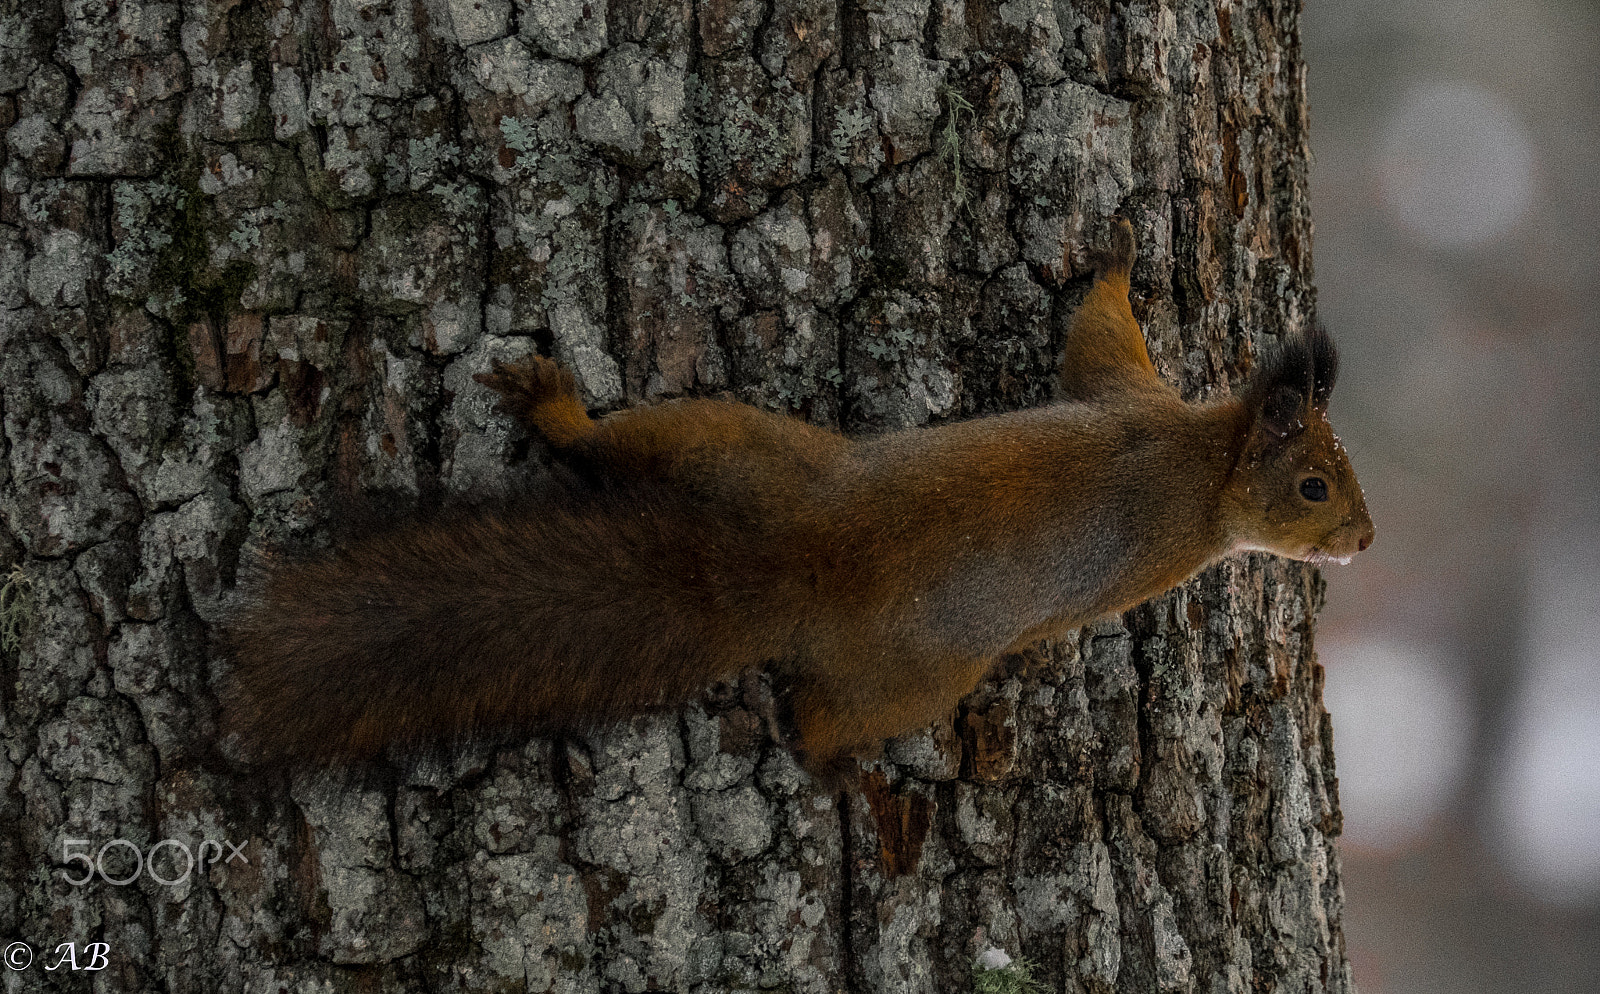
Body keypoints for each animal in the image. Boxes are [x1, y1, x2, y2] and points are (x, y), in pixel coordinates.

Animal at [225, 220, 1376, 777]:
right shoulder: (1141, 433)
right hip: (907, 670)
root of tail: (777, 567)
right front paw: (1125, 259)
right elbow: (1101, 333)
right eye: (1315, 484)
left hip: (734, 448)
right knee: (822, 731)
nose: (1364, 540)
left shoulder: (1135, 404)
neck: (1206, 459)